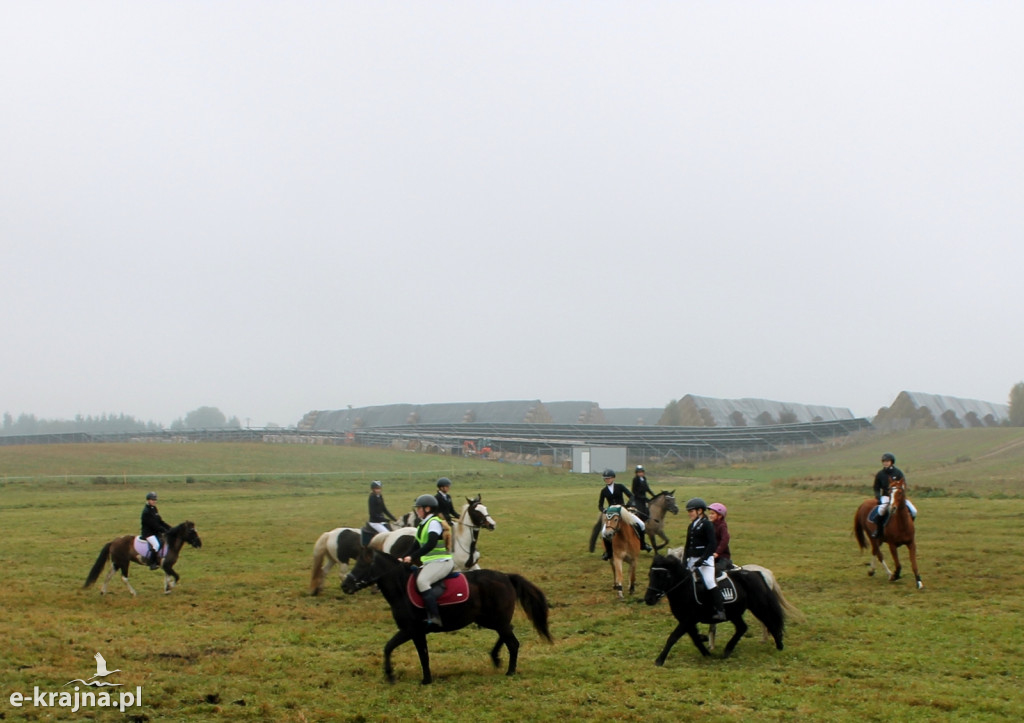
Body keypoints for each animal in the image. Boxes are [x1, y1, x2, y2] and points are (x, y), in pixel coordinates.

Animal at [339, 544, 552, 679]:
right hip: (489, 620)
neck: (401, 589)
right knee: (508, 633)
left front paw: (414, 679)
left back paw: (510, 671)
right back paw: (496, 658)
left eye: (362, 565)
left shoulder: (411, 630)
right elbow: (404, 651)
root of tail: (506, 577)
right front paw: (404, 676)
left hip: (496, 620)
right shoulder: (413, 632)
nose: (345, 586)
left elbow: (406, 651)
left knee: (513, 643)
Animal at [643, 548, 786, 663]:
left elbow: (673, 637)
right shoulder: (686, 621)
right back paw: (727, 650)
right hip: (735, 612)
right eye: (650, 574)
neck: (687, 587)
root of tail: (757, 573)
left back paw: (779, 646)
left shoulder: (688, 619)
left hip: (758, 607)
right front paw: (706, 651)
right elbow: (695, 638)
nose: (649, 599)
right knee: (742, 627)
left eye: (664, 575)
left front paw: (659, 660)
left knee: (769, 623)